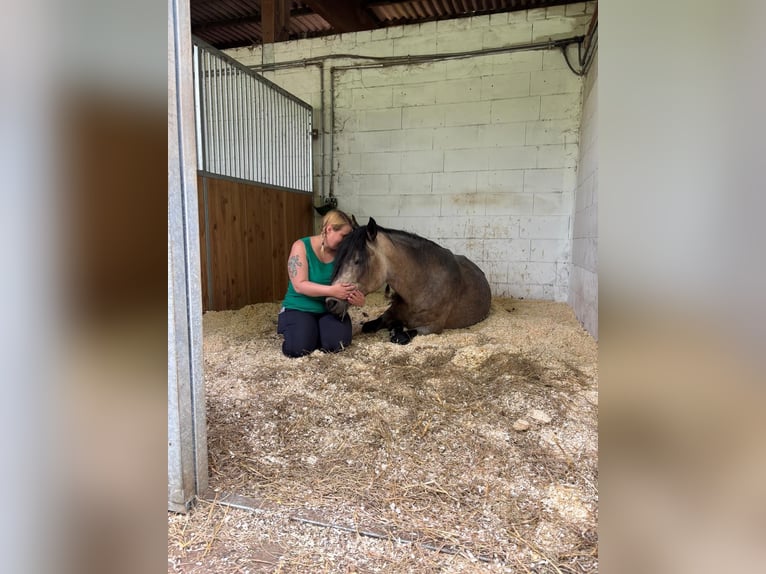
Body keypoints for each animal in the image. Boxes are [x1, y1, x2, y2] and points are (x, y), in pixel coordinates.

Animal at [326, 217, 492, 344]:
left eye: (357, 260)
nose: (331, 302)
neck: (421, 286)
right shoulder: (389, 314)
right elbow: (370, 326)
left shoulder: (431, 327)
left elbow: (400, 336)